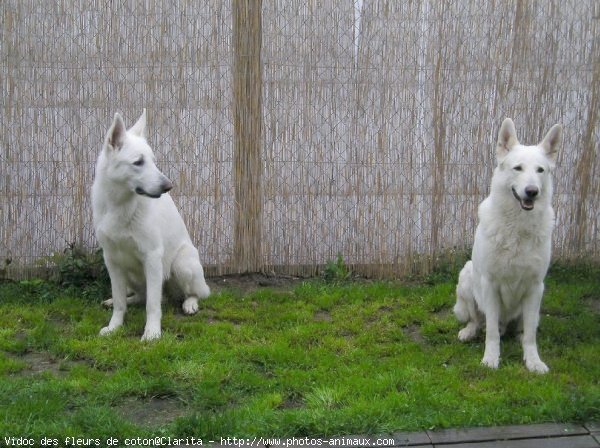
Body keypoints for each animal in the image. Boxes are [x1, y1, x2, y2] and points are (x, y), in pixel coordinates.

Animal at [90, 111, 210, 340]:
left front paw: (152, 333)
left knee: (192, 293)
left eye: (154, 162)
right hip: (129, 273)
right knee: (139, 296)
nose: (168, 186)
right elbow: (120, 302)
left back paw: (190, 304)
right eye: (138, 162)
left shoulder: (152, 257)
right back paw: (117, 301)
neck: (120, 206)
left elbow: (152, 305)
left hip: (182, 264)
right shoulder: (112, 260)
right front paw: (114, 326)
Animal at [454, 117, 564, 372]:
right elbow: (492, 333)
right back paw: (469, 331)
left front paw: (533, 361)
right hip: (467, 278)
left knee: (523, 329)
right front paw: (490, 358)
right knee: (479, 321)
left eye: (540, 170)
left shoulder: (535, 286)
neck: (518, 227)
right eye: (518, 168)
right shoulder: (489, 284)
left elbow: (531, 336)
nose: (532, 191)